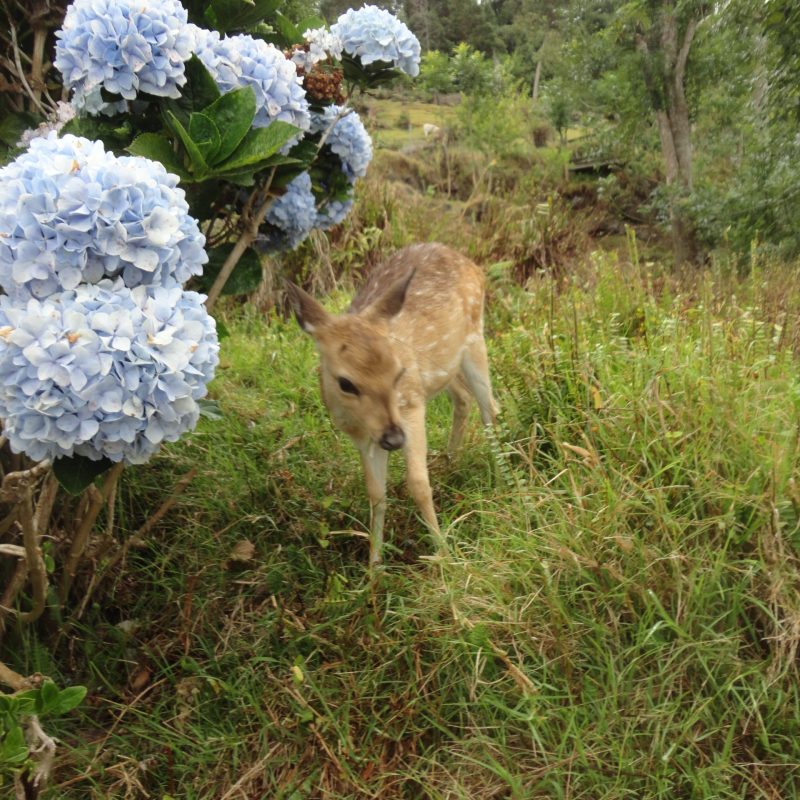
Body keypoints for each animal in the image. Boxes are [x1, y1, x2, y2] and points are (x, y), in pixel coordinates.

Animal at [285, 243, 498, 568]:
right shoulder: (364, 438)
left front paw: (444, 556)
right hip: (444, 367)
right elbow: (376, 494)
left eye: (398, 372)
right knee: (464, 398)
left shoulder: (411, 406)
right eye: (346, 383)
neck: (360, 422)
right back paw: (450, 462)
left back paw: (505, 478)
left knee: (491, 409)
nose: (394, 439)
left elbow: (418, 484)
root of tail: (467, 260)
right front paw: (375, 567)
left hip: (475, 336)